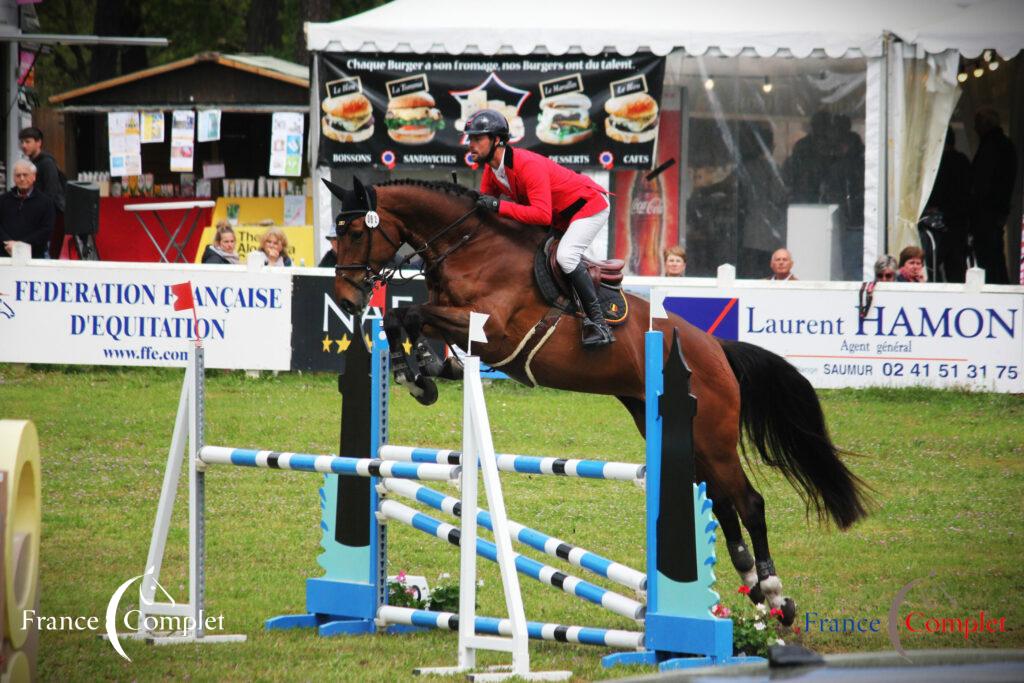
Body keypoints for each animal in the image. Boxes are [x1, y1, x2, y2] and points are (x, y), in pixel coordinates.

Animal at [323, 176, 868, 626]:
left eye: (354, 234)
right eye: (333, 235)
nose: (347, 300)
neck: (469, 246)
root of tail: (716, 349)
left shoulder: (491, 328)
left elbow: (411, 315)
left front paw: (418, 373)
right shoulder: (457, 320)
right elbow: (405, 319)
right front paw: (421, 373)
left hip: (712, 436)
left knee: (749, 502)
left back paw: (774, 593)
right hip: (678, 434)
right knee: (720, 501)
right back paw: (751, 585)